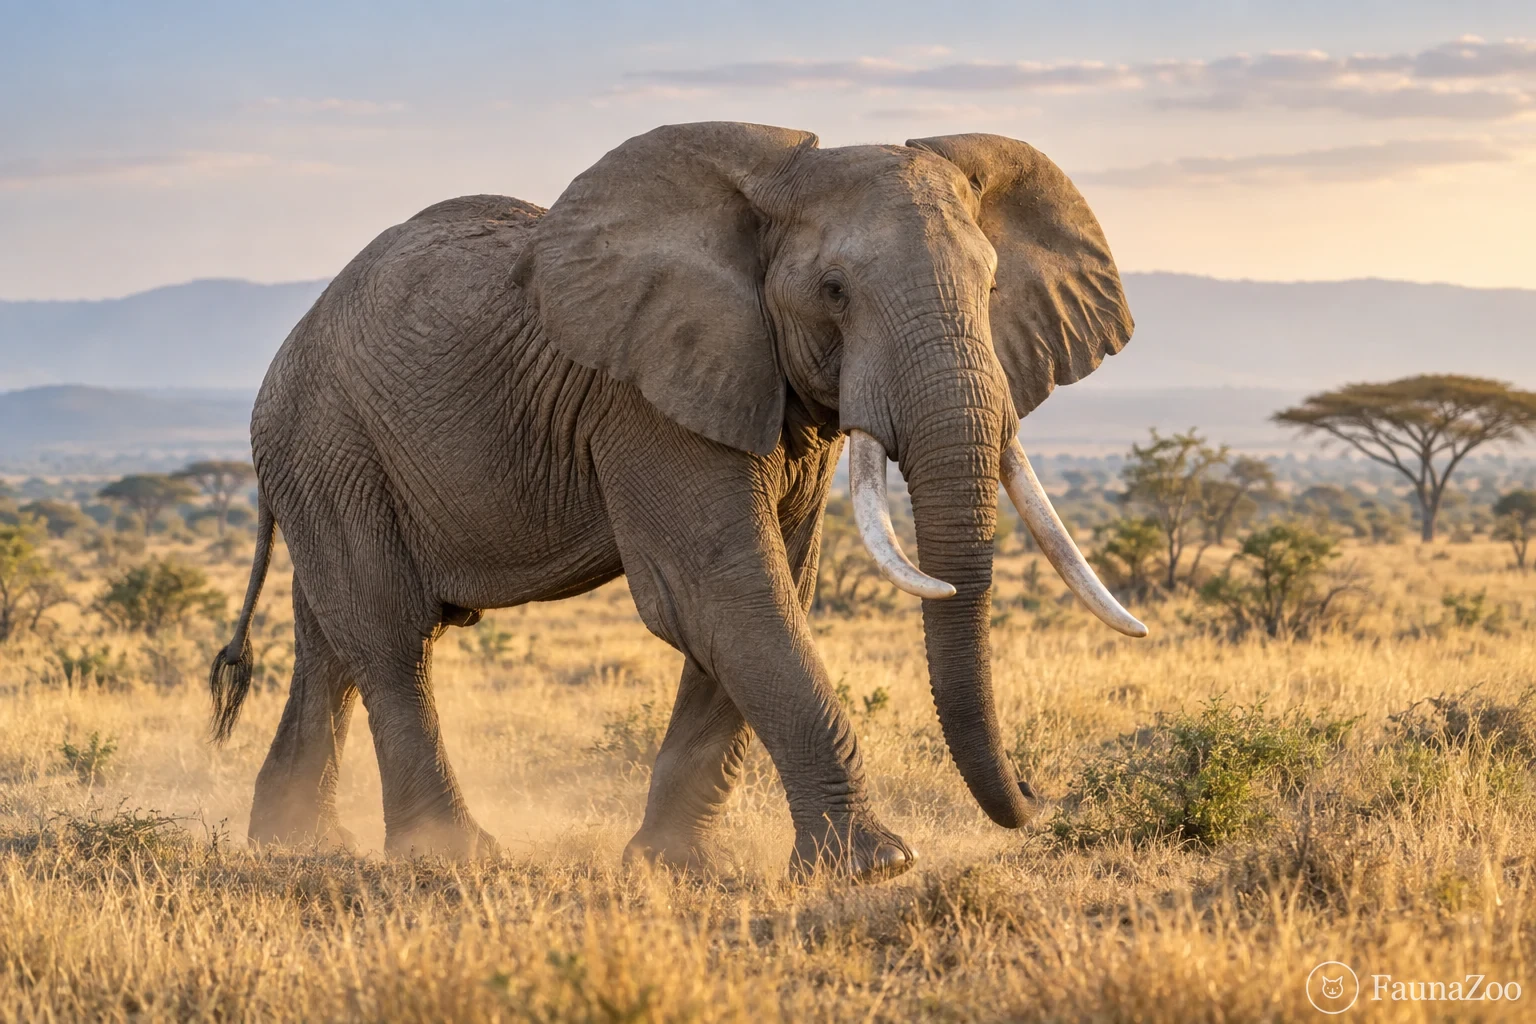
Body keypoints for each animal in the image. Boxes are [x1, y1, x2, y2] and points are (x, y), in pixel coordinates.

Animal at [208, 121, 1146, 881]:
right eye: (835, 291)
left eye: (990, 291)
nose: (1038, 790)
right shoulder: (644, 398)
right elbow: (719, 588)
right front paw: (877, 867)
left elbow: (775, 588)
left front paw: (675, 865)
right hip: (328, 437)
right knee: (390, 634)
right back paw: (449, 854)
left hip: (324, 456)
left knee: (330, 644)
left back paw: (296, 844)